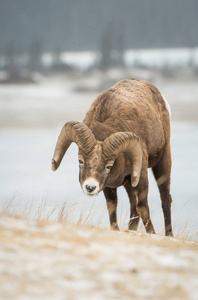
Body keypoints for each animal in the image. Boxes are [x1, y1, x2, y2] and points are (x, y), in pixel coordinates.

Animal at [52, 78, 173, 236]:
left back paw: (169, 235)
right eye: (81, 161)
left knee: (165, 198)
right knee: (133, 205)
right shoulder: (109, 187)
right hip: (129, 184)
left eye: (109, 165)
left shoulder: (140, 176)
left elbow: (143, 208)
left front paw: (152, 234)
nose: (90, 187)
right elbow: (113, 208)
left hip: (163, 161)